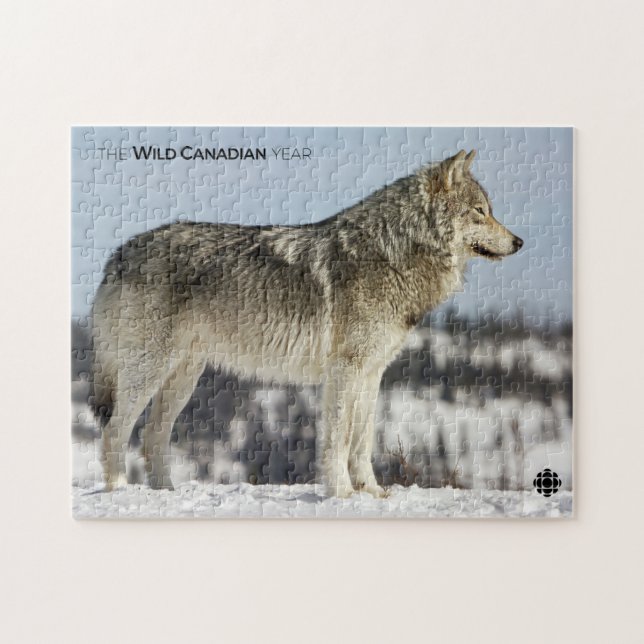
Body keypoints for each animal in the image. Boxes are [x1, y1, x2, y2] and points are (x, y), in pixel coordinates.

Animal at [91, 149, 522, 497]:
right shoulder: (344, 371)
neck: (394, 253)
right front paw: (341, 493)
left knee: (152, 435)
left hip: (184, 377)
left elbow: (361, 442)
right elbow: (338, 439)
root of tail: (118, 254)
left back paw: (165, 492)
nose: (519, 242)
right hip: (149, 371)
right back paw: (119, 489)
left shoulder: (372, 374)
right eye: (480, 212)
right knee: (115, 429)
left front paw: (371, 492)